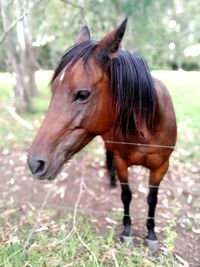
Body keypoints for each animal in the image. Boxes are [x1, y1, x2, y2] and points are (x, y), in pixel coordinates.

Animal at [27, 18, 177, 251]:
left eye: (82, 94)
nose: (35, 163)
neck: (148, 127)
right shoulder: (122, 161)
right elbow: (127, 195)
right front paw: (127, 231)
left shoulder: (161, 166)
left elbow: (152, 199)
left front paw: (151, 235)